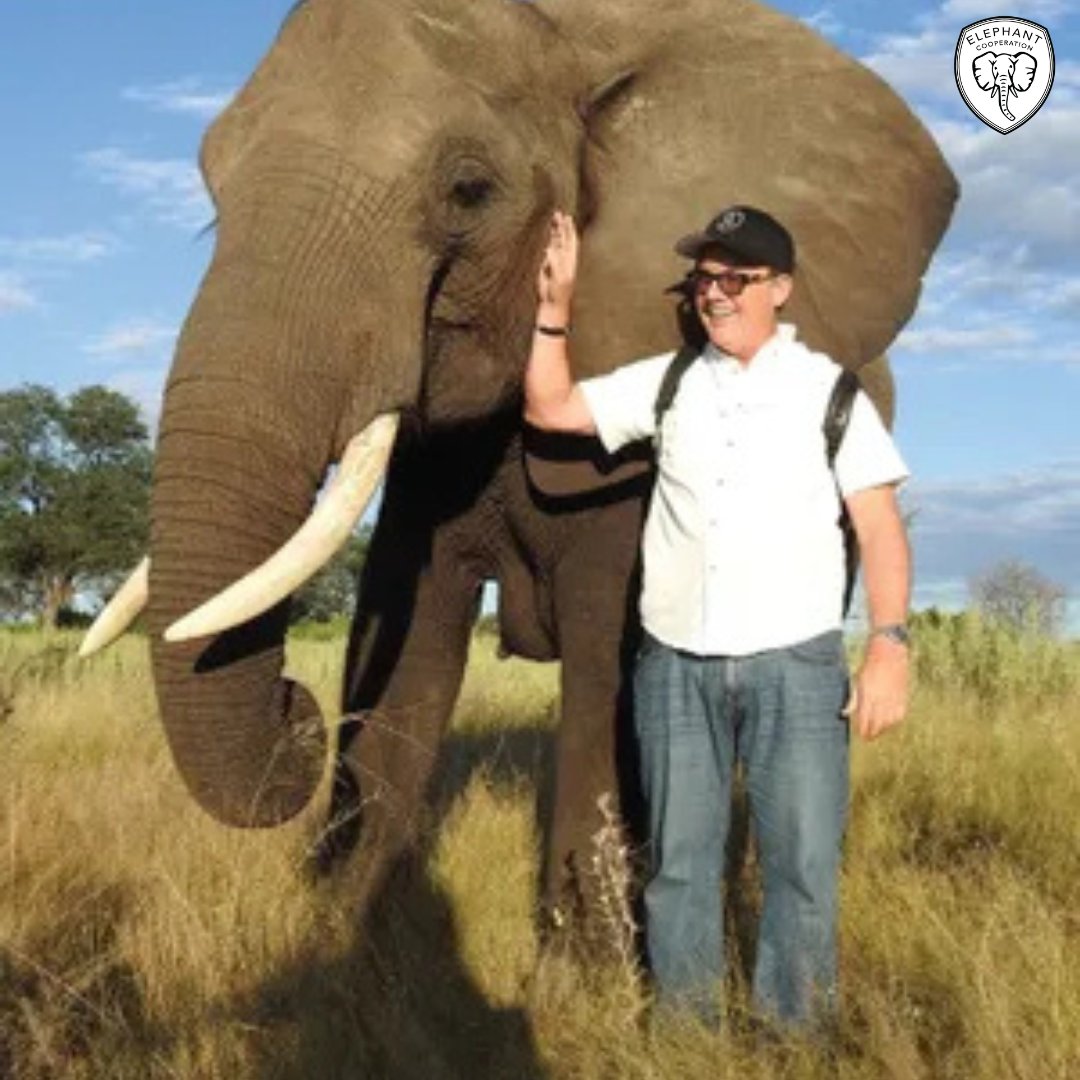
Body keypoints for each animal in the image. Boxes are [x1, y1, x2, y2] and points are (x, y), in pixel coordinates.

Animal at [84, 0, 956, 928]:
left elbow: (609, 659)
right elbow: (406, 636)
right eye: (212, 182)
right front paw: (344, 923)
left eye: (469, 190)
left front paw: (589, 955)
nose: (295, 709)